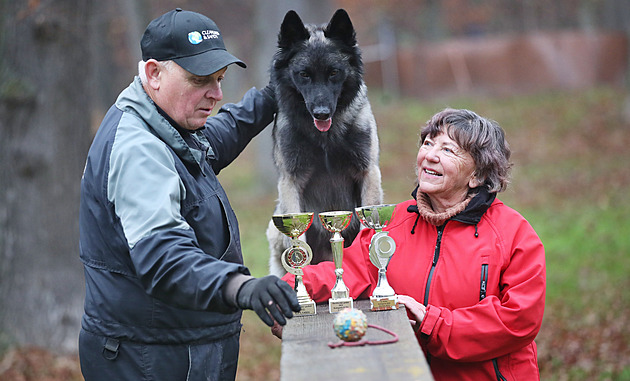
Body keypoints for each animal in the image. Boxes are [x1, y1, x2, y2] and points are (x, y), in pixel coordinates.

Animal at [268, 8, 386, 276]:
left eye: (334, 73)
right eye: (304, 75)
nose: (321, 113)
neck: (325, 140)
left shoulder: (368, 173)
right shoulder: (291, 182)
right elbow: (298, 241)